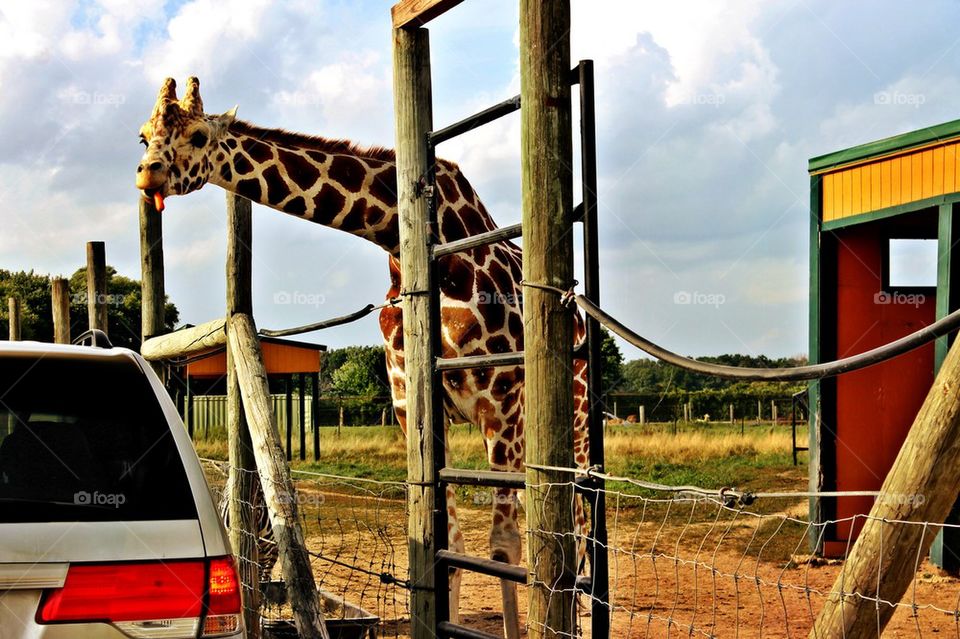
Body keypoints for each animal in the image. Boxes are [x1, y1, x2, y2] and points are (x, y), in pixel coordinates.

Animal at [135, 77, 592, 638]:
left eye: (199, 135)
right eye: (144, 135)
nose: (147, 173)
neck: (416, 243)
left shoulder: (500, 403)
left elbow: (503, 550)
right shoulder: (414, 406)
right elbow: (447, 546)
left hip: (572, 417)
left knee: (580, 523)